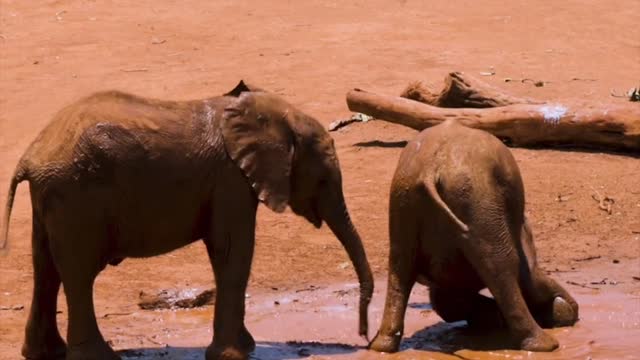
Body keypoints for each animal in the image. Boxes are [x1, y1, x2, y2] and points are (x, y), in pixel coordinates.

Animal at [1, 83, 376, 360]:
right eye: (323, 180)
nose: (365, 336)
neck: (274, 115)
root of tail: (30, 156)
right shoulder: (229, 180)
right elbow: (232, 250)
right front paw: (235, 355)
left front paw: (246, 348)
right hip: (77, 196)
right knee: (78, 273)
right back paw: (100, 357)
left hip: (53, 198)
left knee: (46, 268)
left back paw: (43, 353)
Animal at [368, 120, 576, 352]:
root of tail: (431, 169)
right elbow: (527, 276)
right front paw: (561, 312)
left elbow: (445, 299)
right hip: (475, 197)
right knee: (501, 264)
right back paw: (546, 345)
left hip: (404, 199)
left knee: (399, 268)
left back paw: (381, 347)